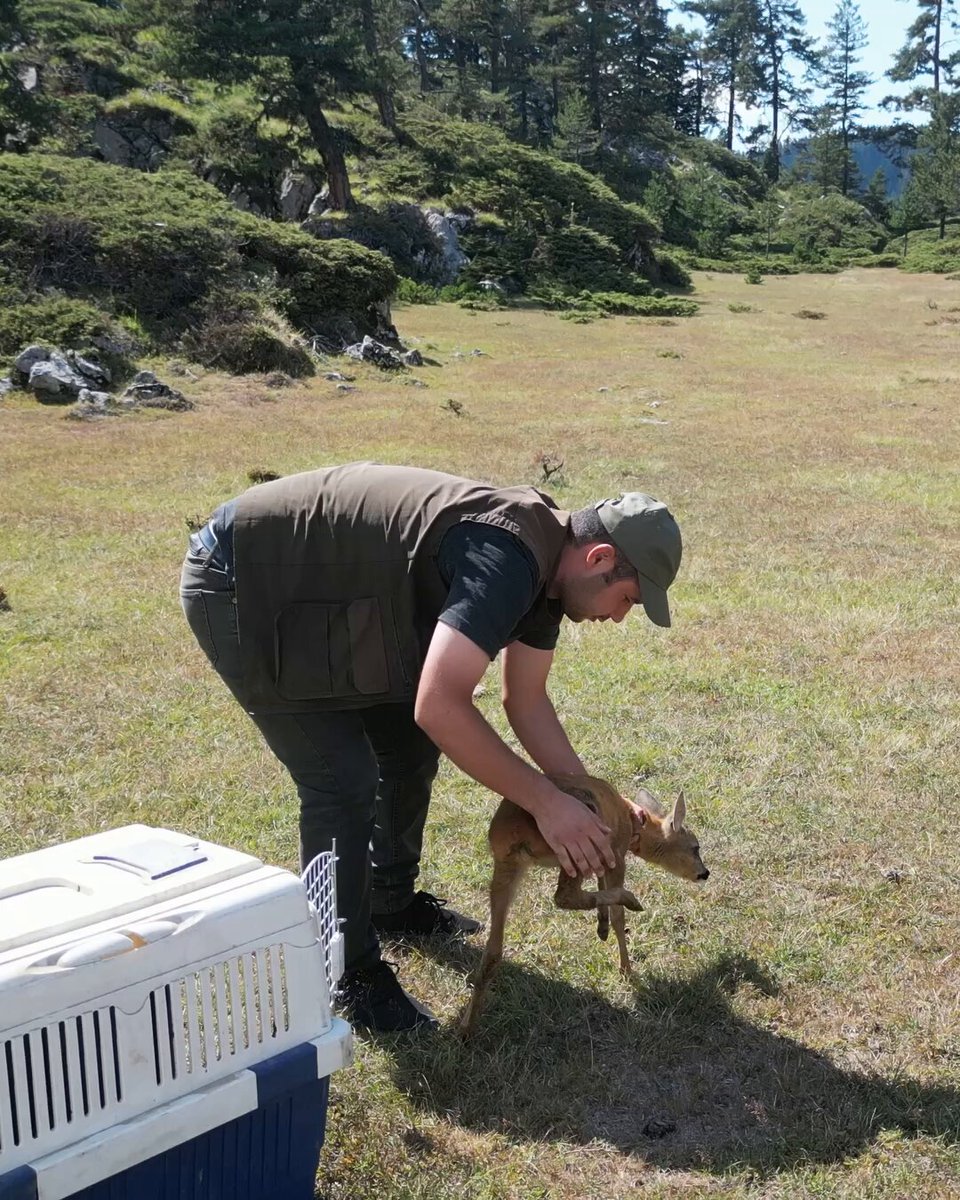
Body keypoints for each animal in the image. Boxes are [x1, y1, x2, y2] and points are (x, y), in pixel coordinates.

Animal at [460, 772, 710, 1036]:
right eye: (695, 847)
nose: (704, 873)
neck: (634, 825)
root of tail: (515, 833)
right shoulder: (616, 853)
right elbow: (618, 916)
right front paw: (626, 970)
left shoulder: (603, 857)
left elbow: (601, 884)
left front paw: (602, 927)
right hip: (576, 842)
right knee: (563, 896)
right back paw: (631, 899)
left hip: (506, 865)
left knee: (493, 950)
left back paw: (466, 1028)